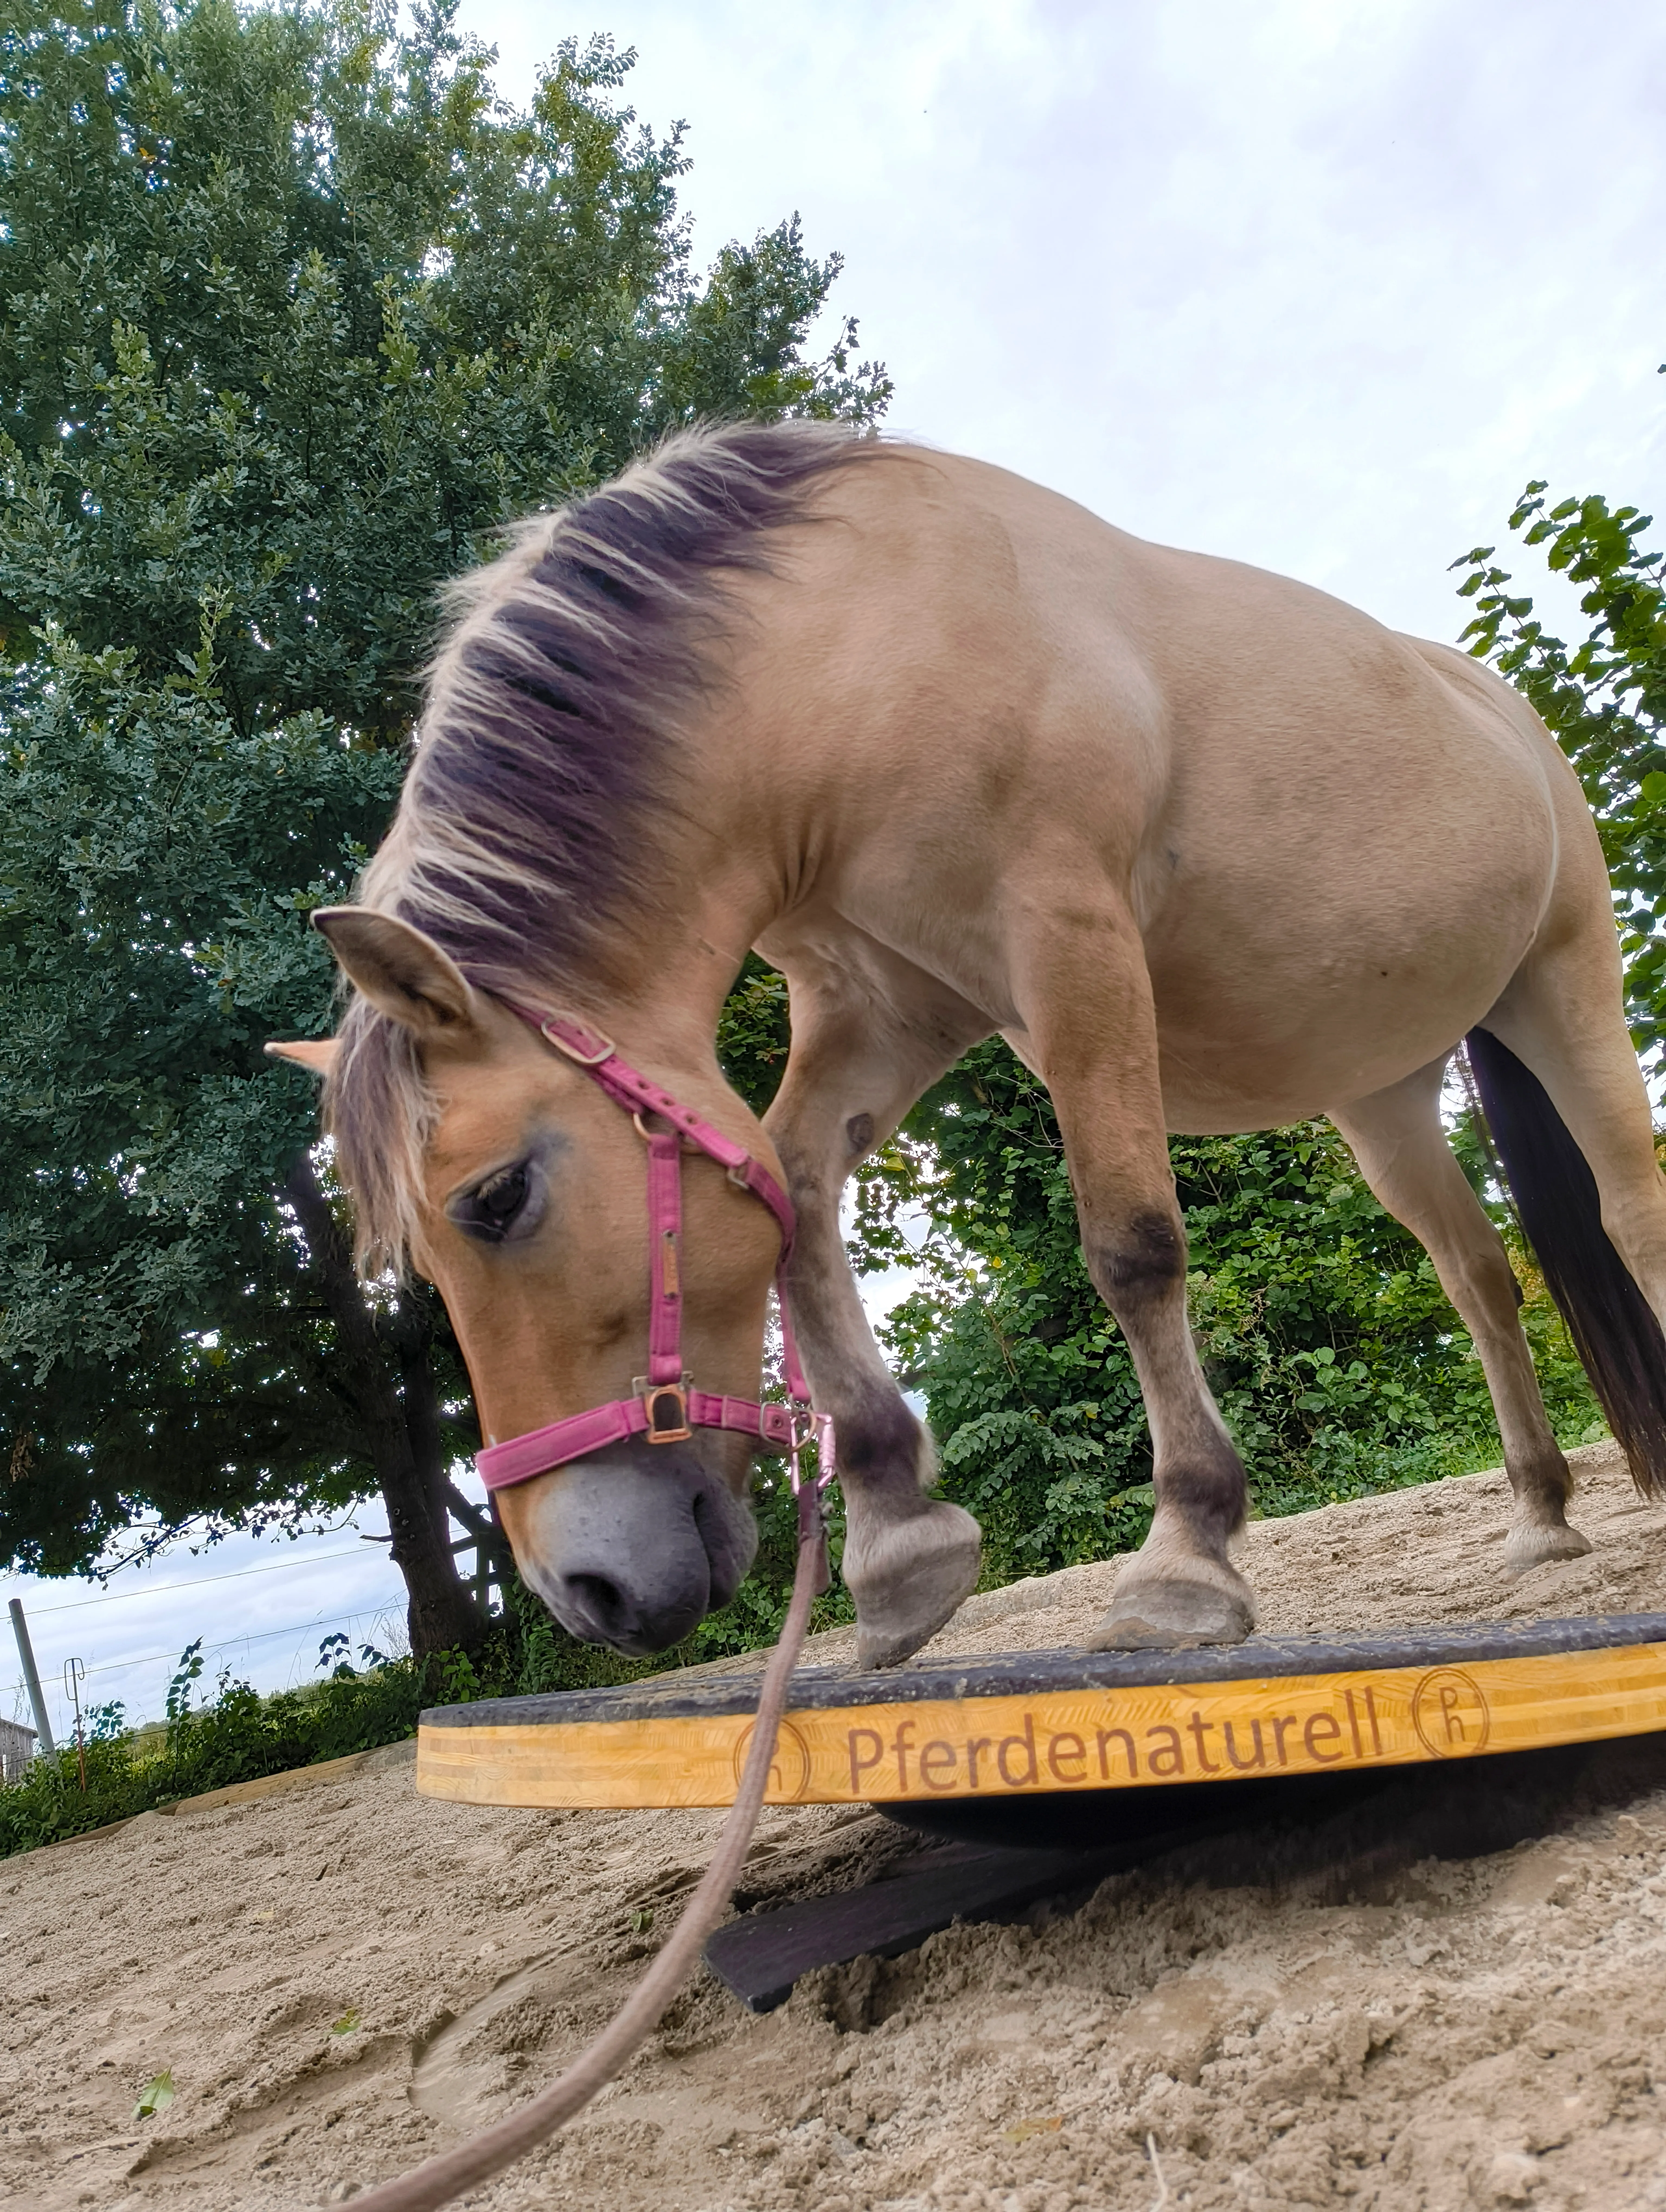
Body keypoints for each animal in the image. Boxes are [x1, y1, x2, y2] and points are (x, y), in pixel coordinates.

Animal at [269, 419, 1666, 1672]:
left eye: (499, 1197)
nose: (587, 1592)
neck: (849, 647)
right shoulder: (883, 1006)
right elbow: (795, 1201)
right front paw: (899, 1540)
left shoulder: (1070, 947)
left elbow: (1131, 1247)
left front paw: (1185, 1555)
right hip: (1379, 1093)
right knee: (1477, 1275)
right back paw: (1540, 1515)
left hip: (1565, 985)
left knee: (1631, 1211)